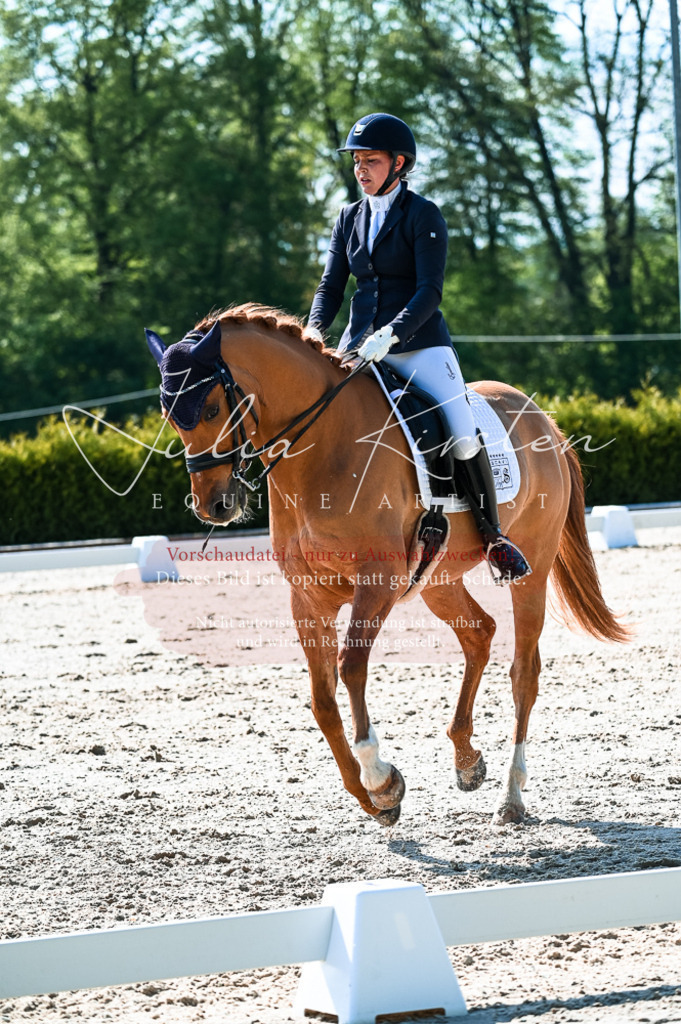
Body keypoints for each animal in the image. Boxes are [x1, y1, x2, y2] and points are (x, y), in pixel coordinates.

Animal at [146, 302, 629, 826]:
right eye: (170, 417)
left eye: (212, 409)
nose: (214, 506)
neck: (322, 447)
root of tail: (544, 422)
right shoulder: (308, 598)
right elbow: (322, 699)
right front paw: (369, 797)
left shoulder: (377, 582)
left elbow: (351, 665)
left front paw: (380, 778)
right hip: (438, 579)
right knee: (479, 633)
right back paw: (467, 760)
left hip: (532, 569)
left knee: (524, 672)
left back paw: (512, 795)